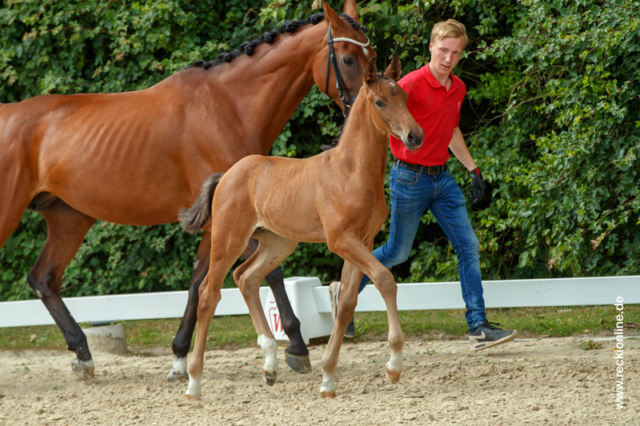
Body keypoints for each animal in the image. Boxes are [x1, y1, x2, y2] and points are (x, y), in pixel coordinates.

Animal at [180, 55, 422, 398]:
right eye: (380, 101)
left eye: (405, 96)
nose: (415, 136)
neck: (351, 171)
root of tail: (226, 175)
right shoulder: (341, 240)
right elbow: (385, 279)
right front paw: (394, 365)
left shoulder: (364, 240)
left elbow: (347, 301)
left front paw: (328, 378)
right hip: (229, 239)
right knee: (208, 294)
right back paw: (193, 383)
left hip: (278, 243)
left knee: (245, 278)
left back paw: (270, 365)